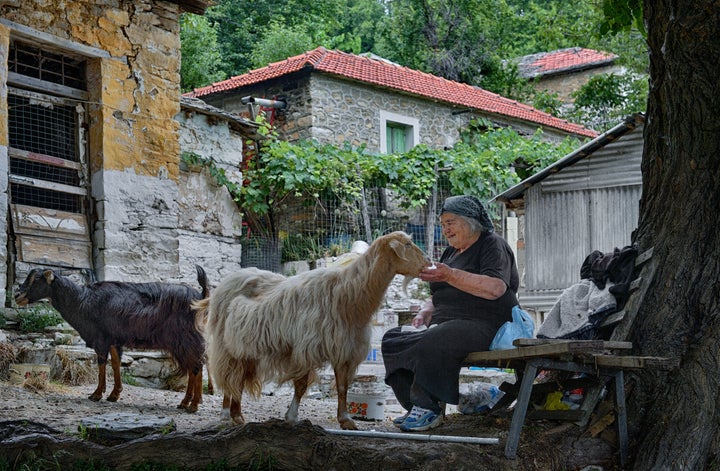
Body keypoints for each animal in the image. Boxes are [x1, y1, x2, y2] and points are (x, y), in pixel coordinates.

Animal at [14, 266, 211, 412]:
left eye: (36, 280)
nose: (17, 296)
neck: (82, 300)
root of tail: (201, 297)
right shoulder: (114, 340)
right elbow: (116, 364)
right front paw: (114, 395)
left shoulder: (101, 338)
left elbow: (101, 364)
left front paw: (96, 394)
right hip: (183, 343)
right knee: (193, 367)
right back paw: (185, 402)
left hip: (186, 339)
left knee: (196, 366)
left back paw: (193, 405)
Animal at [193, 230, 428, 430]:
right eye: (408, 244)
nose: (429, 263)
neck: (347, 295)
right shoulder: (306, 347)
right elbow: (301, 385)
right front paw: (291, 417)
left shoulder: (344, 349)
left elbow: (342, 387)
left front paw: (345, 420)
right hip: (226, 345)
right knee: (229, 376)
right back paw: (226, 415)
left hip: (246, 349)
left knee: (239, 378)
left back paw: (238, 415)